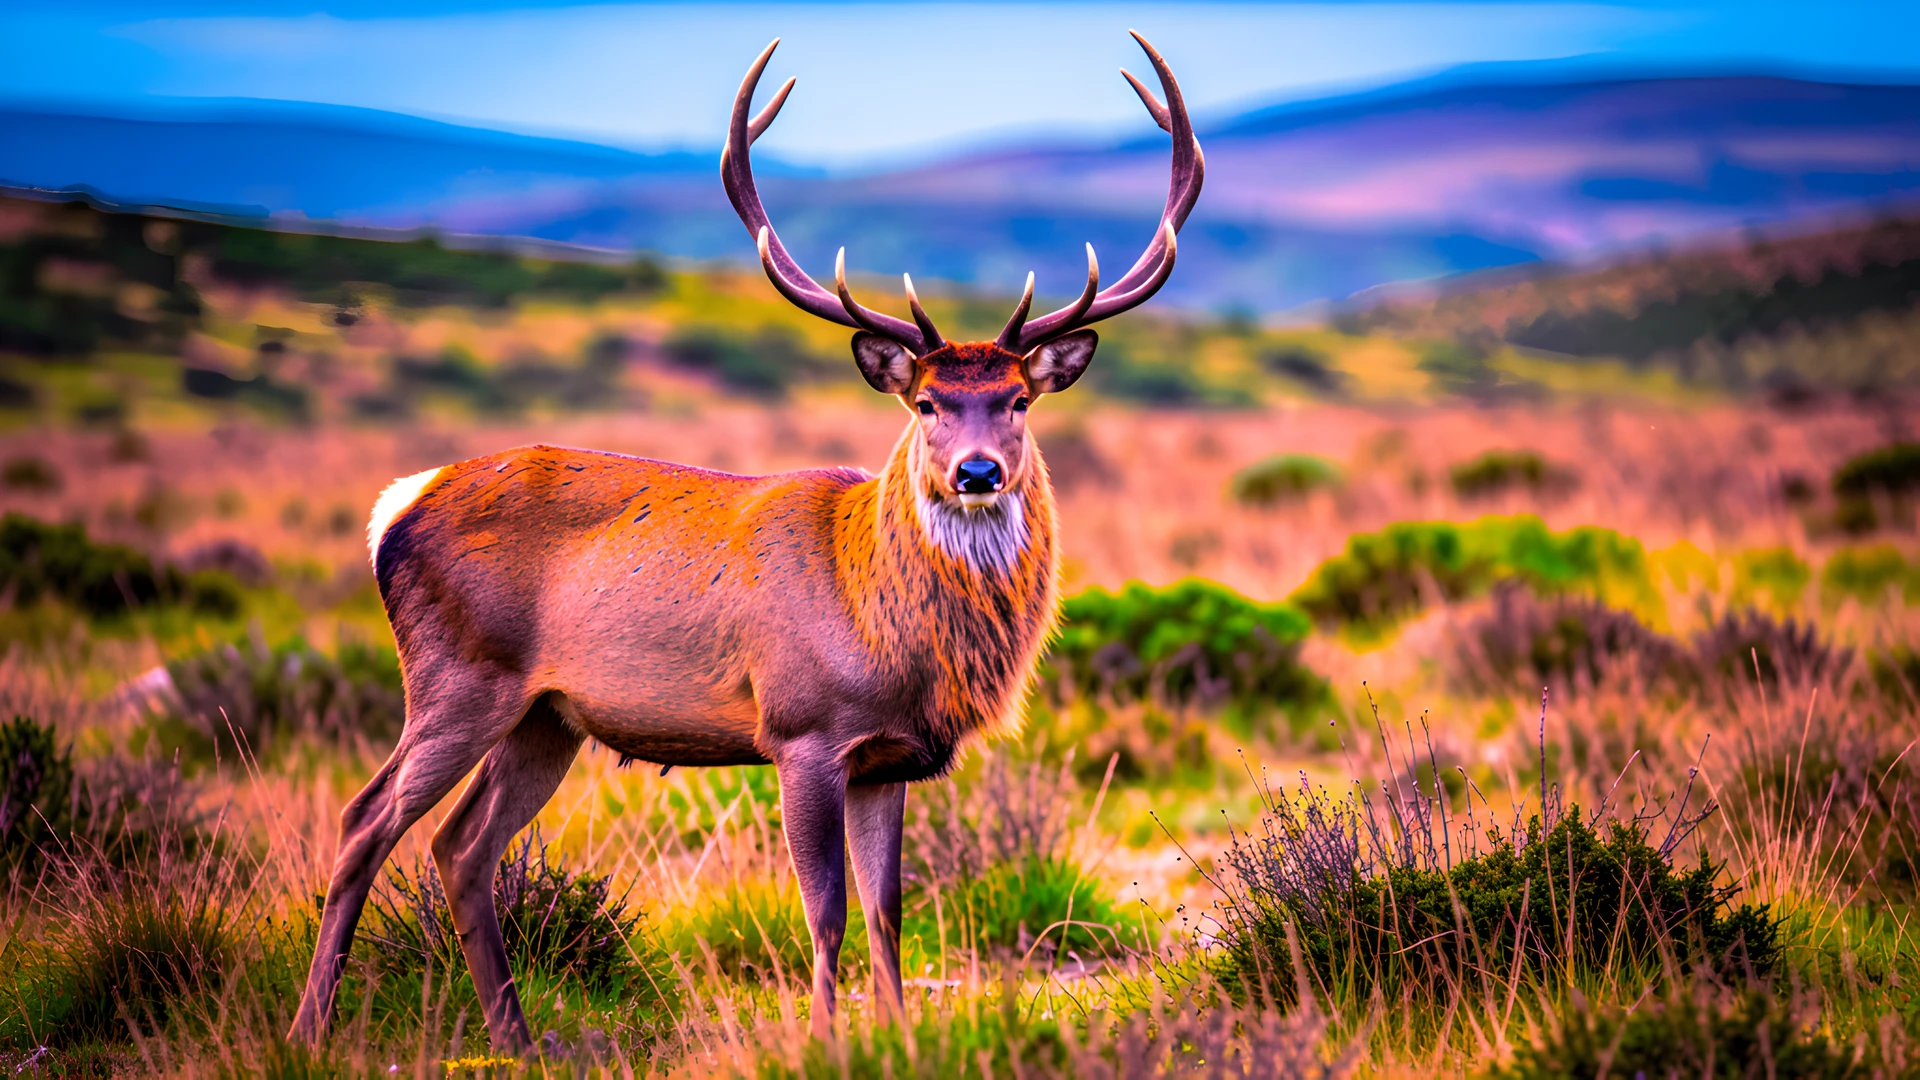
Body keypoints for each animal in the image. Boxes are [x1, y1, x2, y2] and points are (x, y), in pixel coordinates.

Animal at [290, 30, 1202, 1051]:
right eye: (927, 401)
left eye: (1017, 399)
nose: (976, 472)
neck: (885, 622)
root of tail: (396, 504)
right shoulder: (802, 726)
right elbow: (826, 908)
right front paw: (825, 1037)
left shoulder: (889, 757)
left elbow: (889, 909)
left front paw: (893, 1031)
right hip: (457, 674)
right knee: (366, 819)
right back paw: (310, 1028)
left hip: (544, 714)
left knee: (461, 845)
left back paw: (516, 1038)